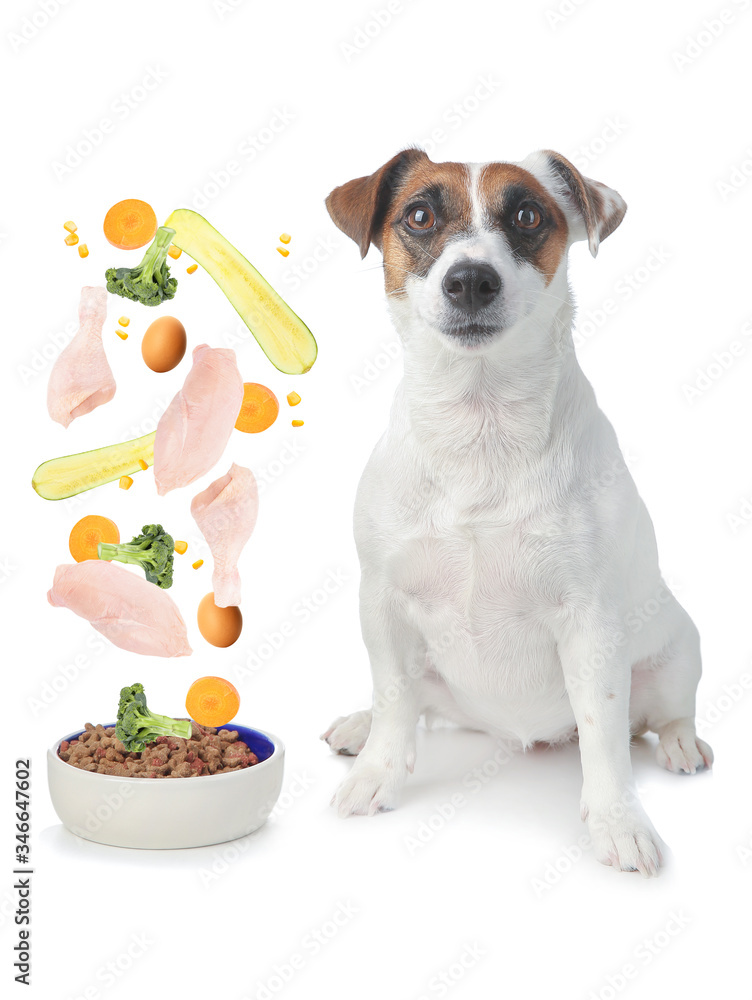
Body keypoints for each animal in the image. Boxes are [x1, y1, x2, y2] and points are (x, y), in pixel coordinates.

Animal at [322, 150, 712, 876]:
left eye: (528, 215)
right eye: (420, 215)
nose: (471, 279)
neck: (480, 426)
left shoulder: (591, 624)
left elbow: (604, 735)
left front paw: (619, 820)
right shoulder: (384, 604)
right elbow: (394, 698)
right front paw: (377, 771)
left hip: (677, 653)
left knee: (663, 715)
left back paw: (679, 744)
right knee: (419, 705)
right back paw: (361, 726)